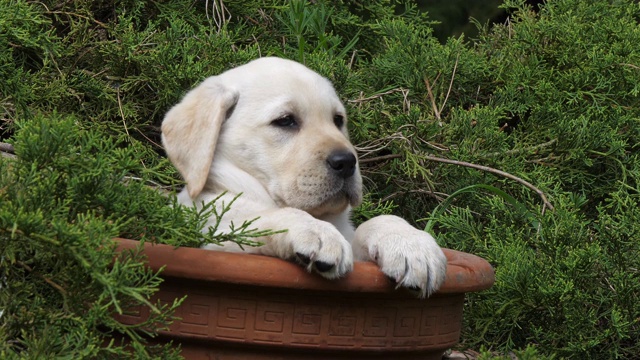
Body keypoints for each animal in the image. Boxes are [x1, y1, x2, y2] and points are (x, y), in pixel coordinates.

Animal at [162, 57, 448, 296]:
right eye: (285, 120)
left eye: (338, 120)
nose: (347, 162)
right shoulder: (210, 234)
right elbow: (263, 215)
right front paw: (313, 230)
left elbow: (378, 221)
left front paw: (410, 244)